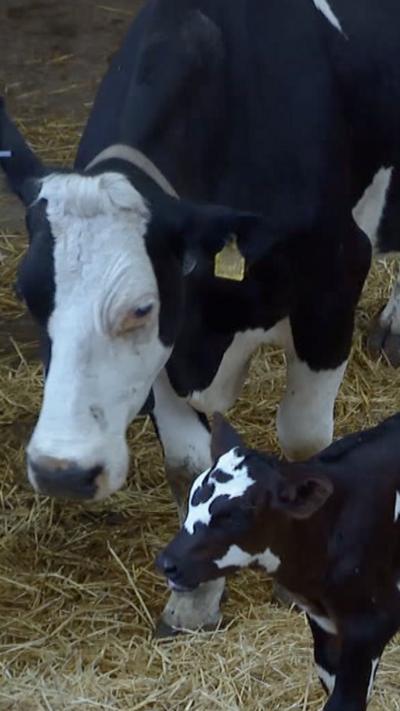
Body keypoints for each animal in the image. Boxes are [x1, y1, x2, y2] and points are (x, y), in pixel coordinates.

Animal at [1, 0, 400, 635]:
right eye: (28, 294)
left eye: (142, 306)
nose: (61, 470)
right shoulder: (176, 339)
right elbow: (188, 462)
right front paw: (194, 603)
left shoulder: (334, 278)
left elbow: (304, 438)